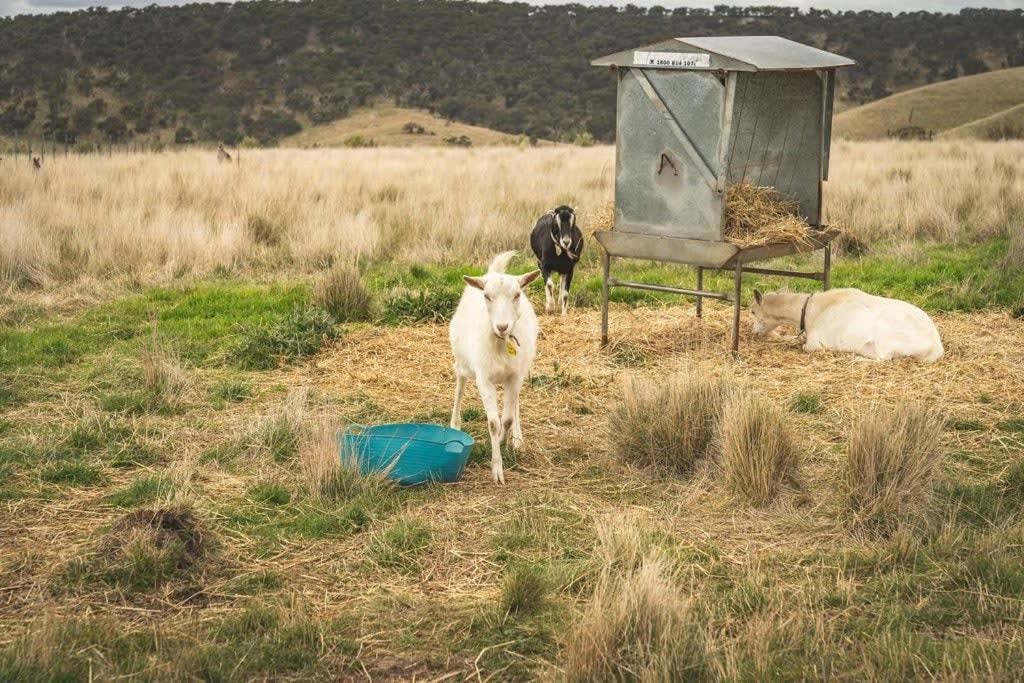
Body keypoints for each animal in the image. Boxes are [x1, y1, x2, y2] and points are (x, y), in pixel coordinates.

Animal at [449, 251, 541, 484]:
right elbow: (493, 422)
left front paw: (503, 440)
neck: (501, 344)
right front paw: (497, 470)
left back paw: (518, 438)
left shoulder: (514, 376)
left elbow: (506, 419)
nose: (502, 326)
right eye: (487, 296)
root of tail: (492, 272)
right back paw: (455, 423)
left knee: (515, 403)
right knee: (460, 387)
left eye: (517, 295)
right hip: (462, 362)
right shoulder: (484, 379)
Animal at [751, 288, 944, 362]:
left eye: (752, 311)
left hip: (887, 338)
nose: (753, 332)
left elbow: (805, 346)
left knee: (884, 357)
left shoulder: (815, 343)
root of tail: (936, 344)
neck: (811, 308)